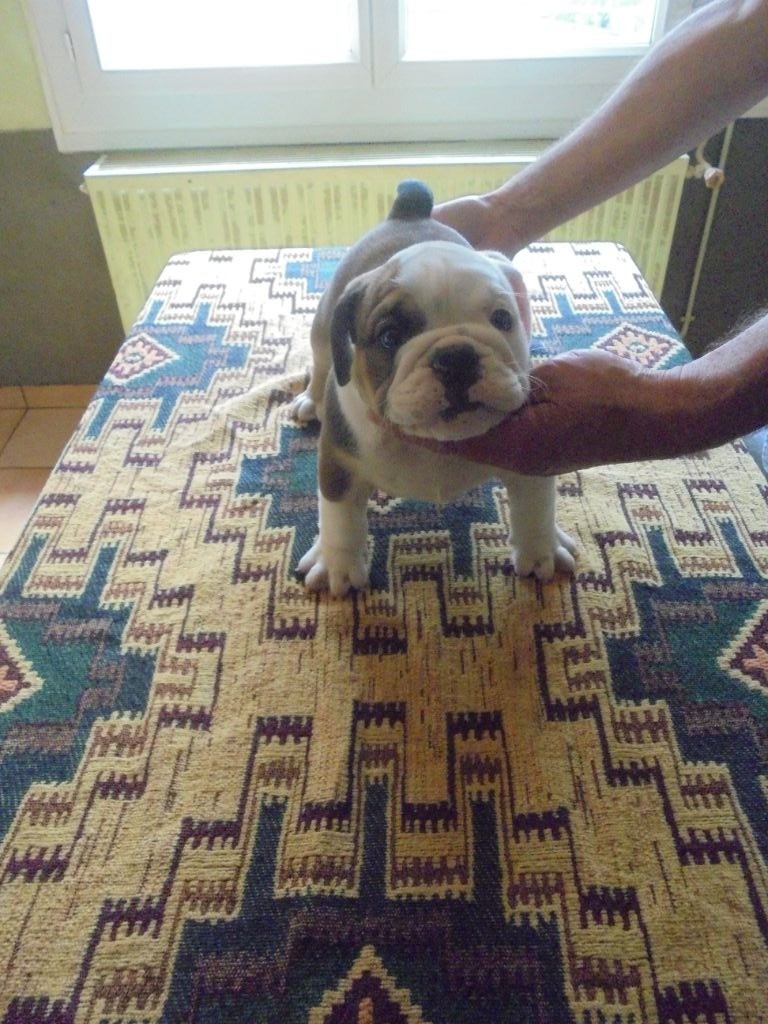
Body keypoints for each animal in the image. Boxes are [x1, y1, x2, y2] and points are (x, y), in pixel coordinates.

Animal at [290, 180, 576, 596]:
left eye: (503, 319)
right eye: (390, 337)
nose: (456, 356)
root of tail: (409, 212)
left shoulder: (531, 455)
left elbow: (536, 506)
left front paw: (542, 551)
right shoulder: (338, 461)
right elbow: (340, 517)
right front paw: (338, 567)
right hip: (324, 328)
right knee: (322, 358)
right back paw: (310, 401)